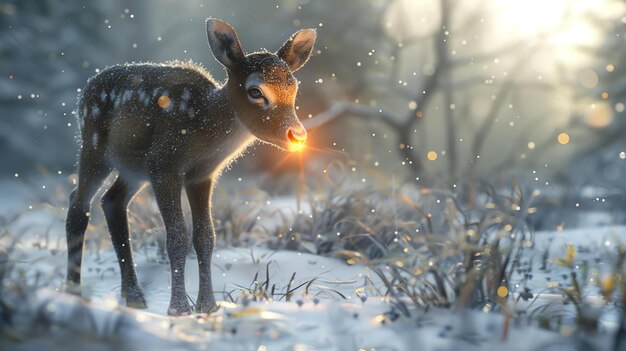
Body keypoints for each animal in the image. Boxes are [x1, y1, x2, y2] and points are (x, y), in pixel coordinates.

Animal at [66, 18, 314, 316]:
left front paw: (208, 306)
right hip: (94, 147)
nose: (297, 136)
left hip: (132, 169)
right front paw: (179, 308)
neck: (202, 130)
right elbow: (176, 236)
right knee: (78, 204)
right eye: (255, 91)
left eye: (294, 87)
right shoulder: (164, 164)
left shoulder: (202, 175)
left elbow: (205, 237)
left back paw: (134, 295)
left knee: (111, 201)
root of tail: (84, 90)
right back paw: (74, 291)